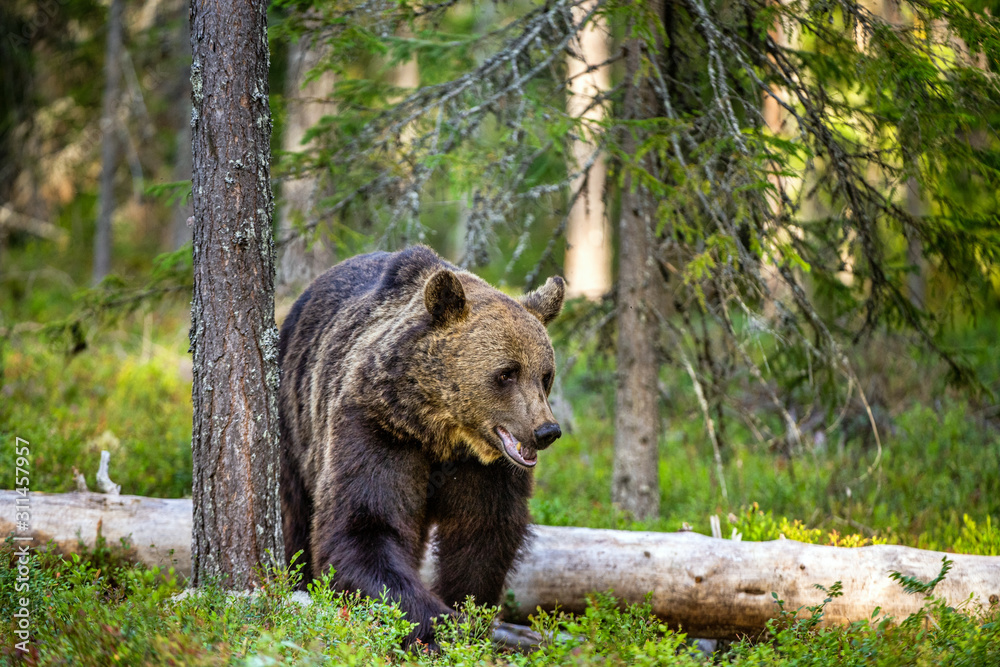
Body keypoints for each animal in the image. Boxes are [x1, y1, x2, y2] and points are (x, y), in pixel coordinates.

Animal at [278, 245, 565, 646]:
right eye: (506, 373)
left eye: (545, 374)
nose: (546, 431)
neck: (441, 430)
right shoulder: (378, 428)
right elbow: (365, 525)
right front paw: (440, 622)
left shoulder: (484, 469)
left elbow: (483, 536)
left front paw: (468, 613)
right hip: (295, 418)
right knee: (297, 512)